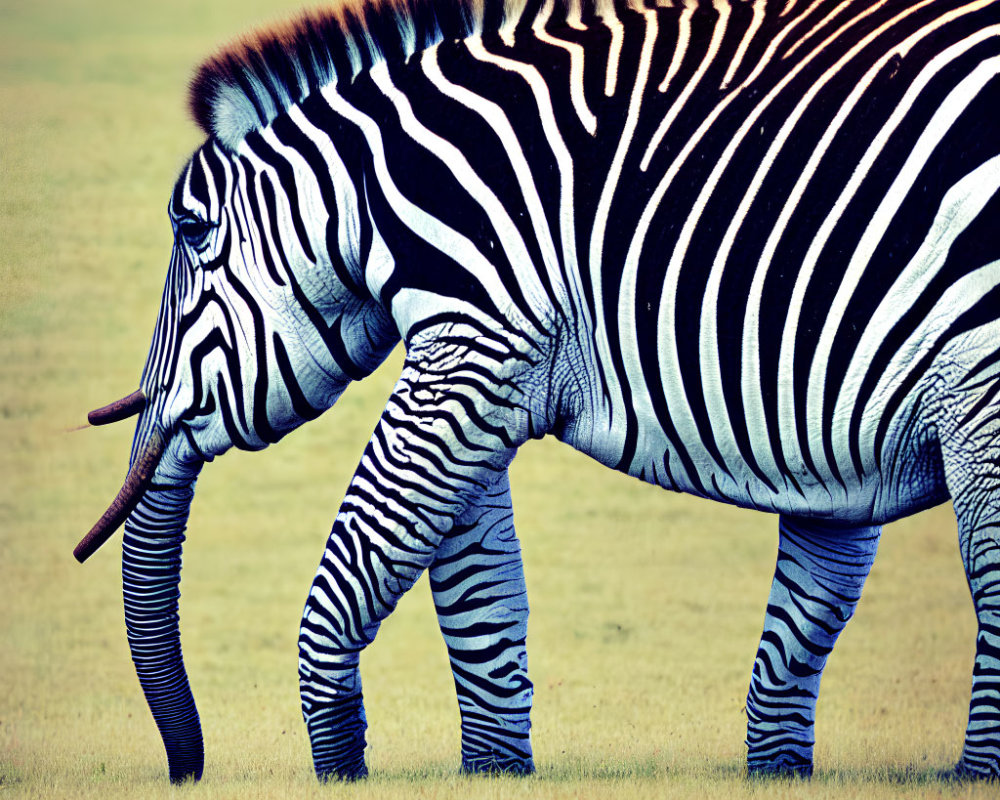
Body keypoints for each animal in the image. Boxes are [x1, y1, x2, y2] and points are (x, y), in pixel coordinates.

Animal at [78, 0, 1000, 784]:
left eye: (191, 231)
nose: (187, 769)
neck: (396, 195)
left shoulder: (478, 334)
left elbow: (367, 556)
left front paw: (341, 769)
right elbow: (482, 588)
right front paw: (496, 770)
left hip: (981, 384)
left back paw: (970, 778)